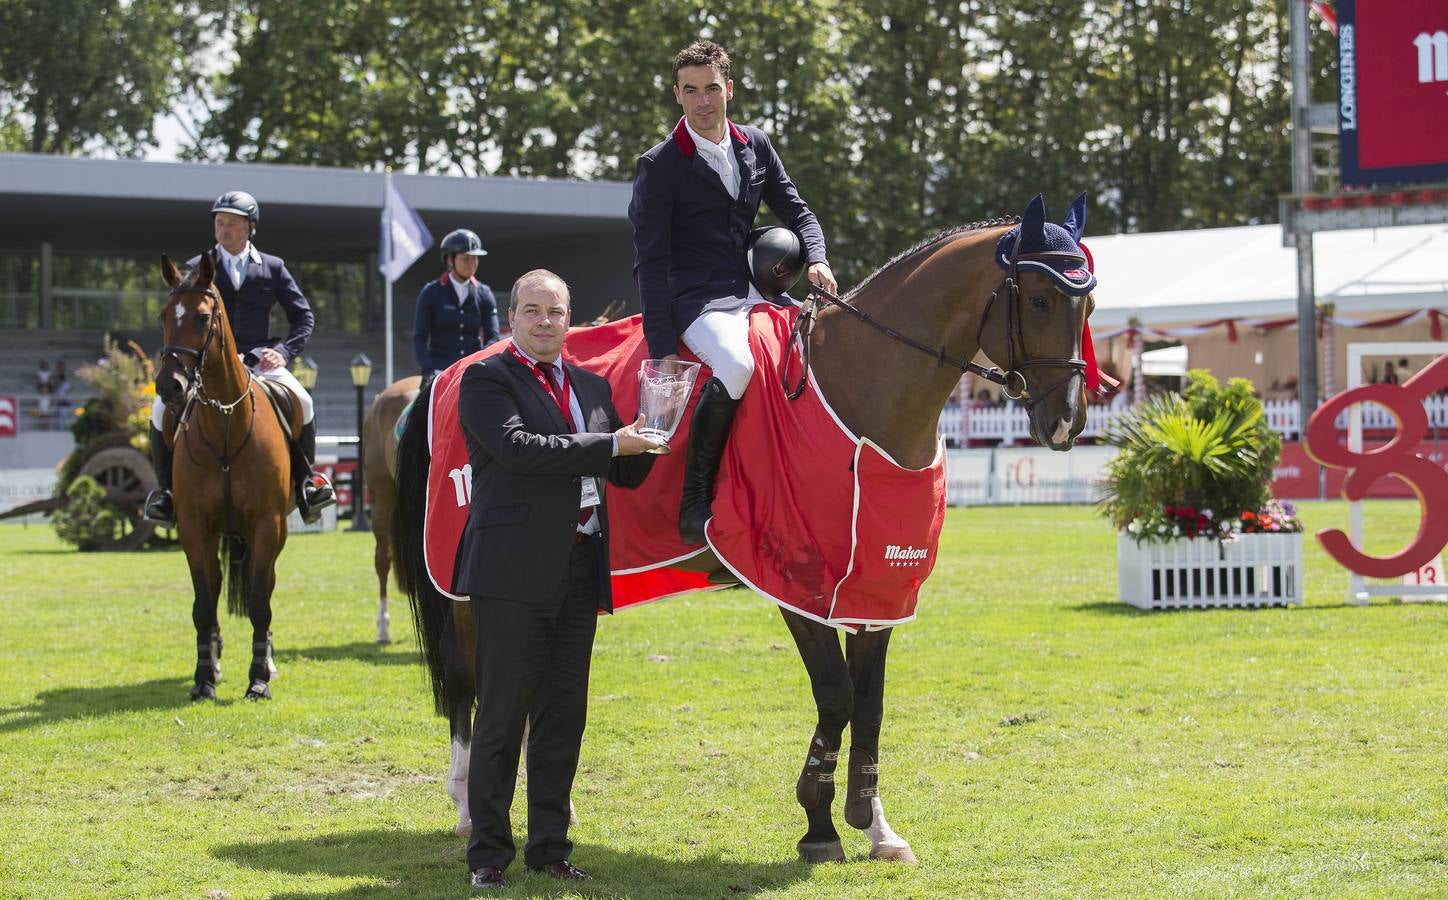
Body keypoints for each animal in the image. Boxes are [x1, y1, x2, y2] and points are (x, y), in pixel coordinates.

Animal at [155, 254, 299, 706]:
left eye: (203, 317)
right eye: (164, 315)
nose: (169, 386)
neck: (225, 425)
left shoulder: (267, 525)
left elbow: (259, 602)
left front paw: (259, 678)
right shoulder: (194, 527)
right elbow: (204, 603)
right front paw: (204, 678)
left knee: (263, 588)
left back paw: (267, 659)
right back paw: (215, 658)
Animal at [390, 195, 1088, 862]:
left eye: (1087, 303)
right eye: (1041, 298)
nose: (1067, 422)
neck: (857, 394)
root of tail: (454, 369)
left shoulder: (877, 584)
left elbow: (870, 702)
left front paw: (875, 826)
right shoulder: (795, 581)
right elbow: (836, 695)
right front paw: (818, 823)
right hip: (471, 586)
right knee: (472, 679)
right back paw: (468, 808)